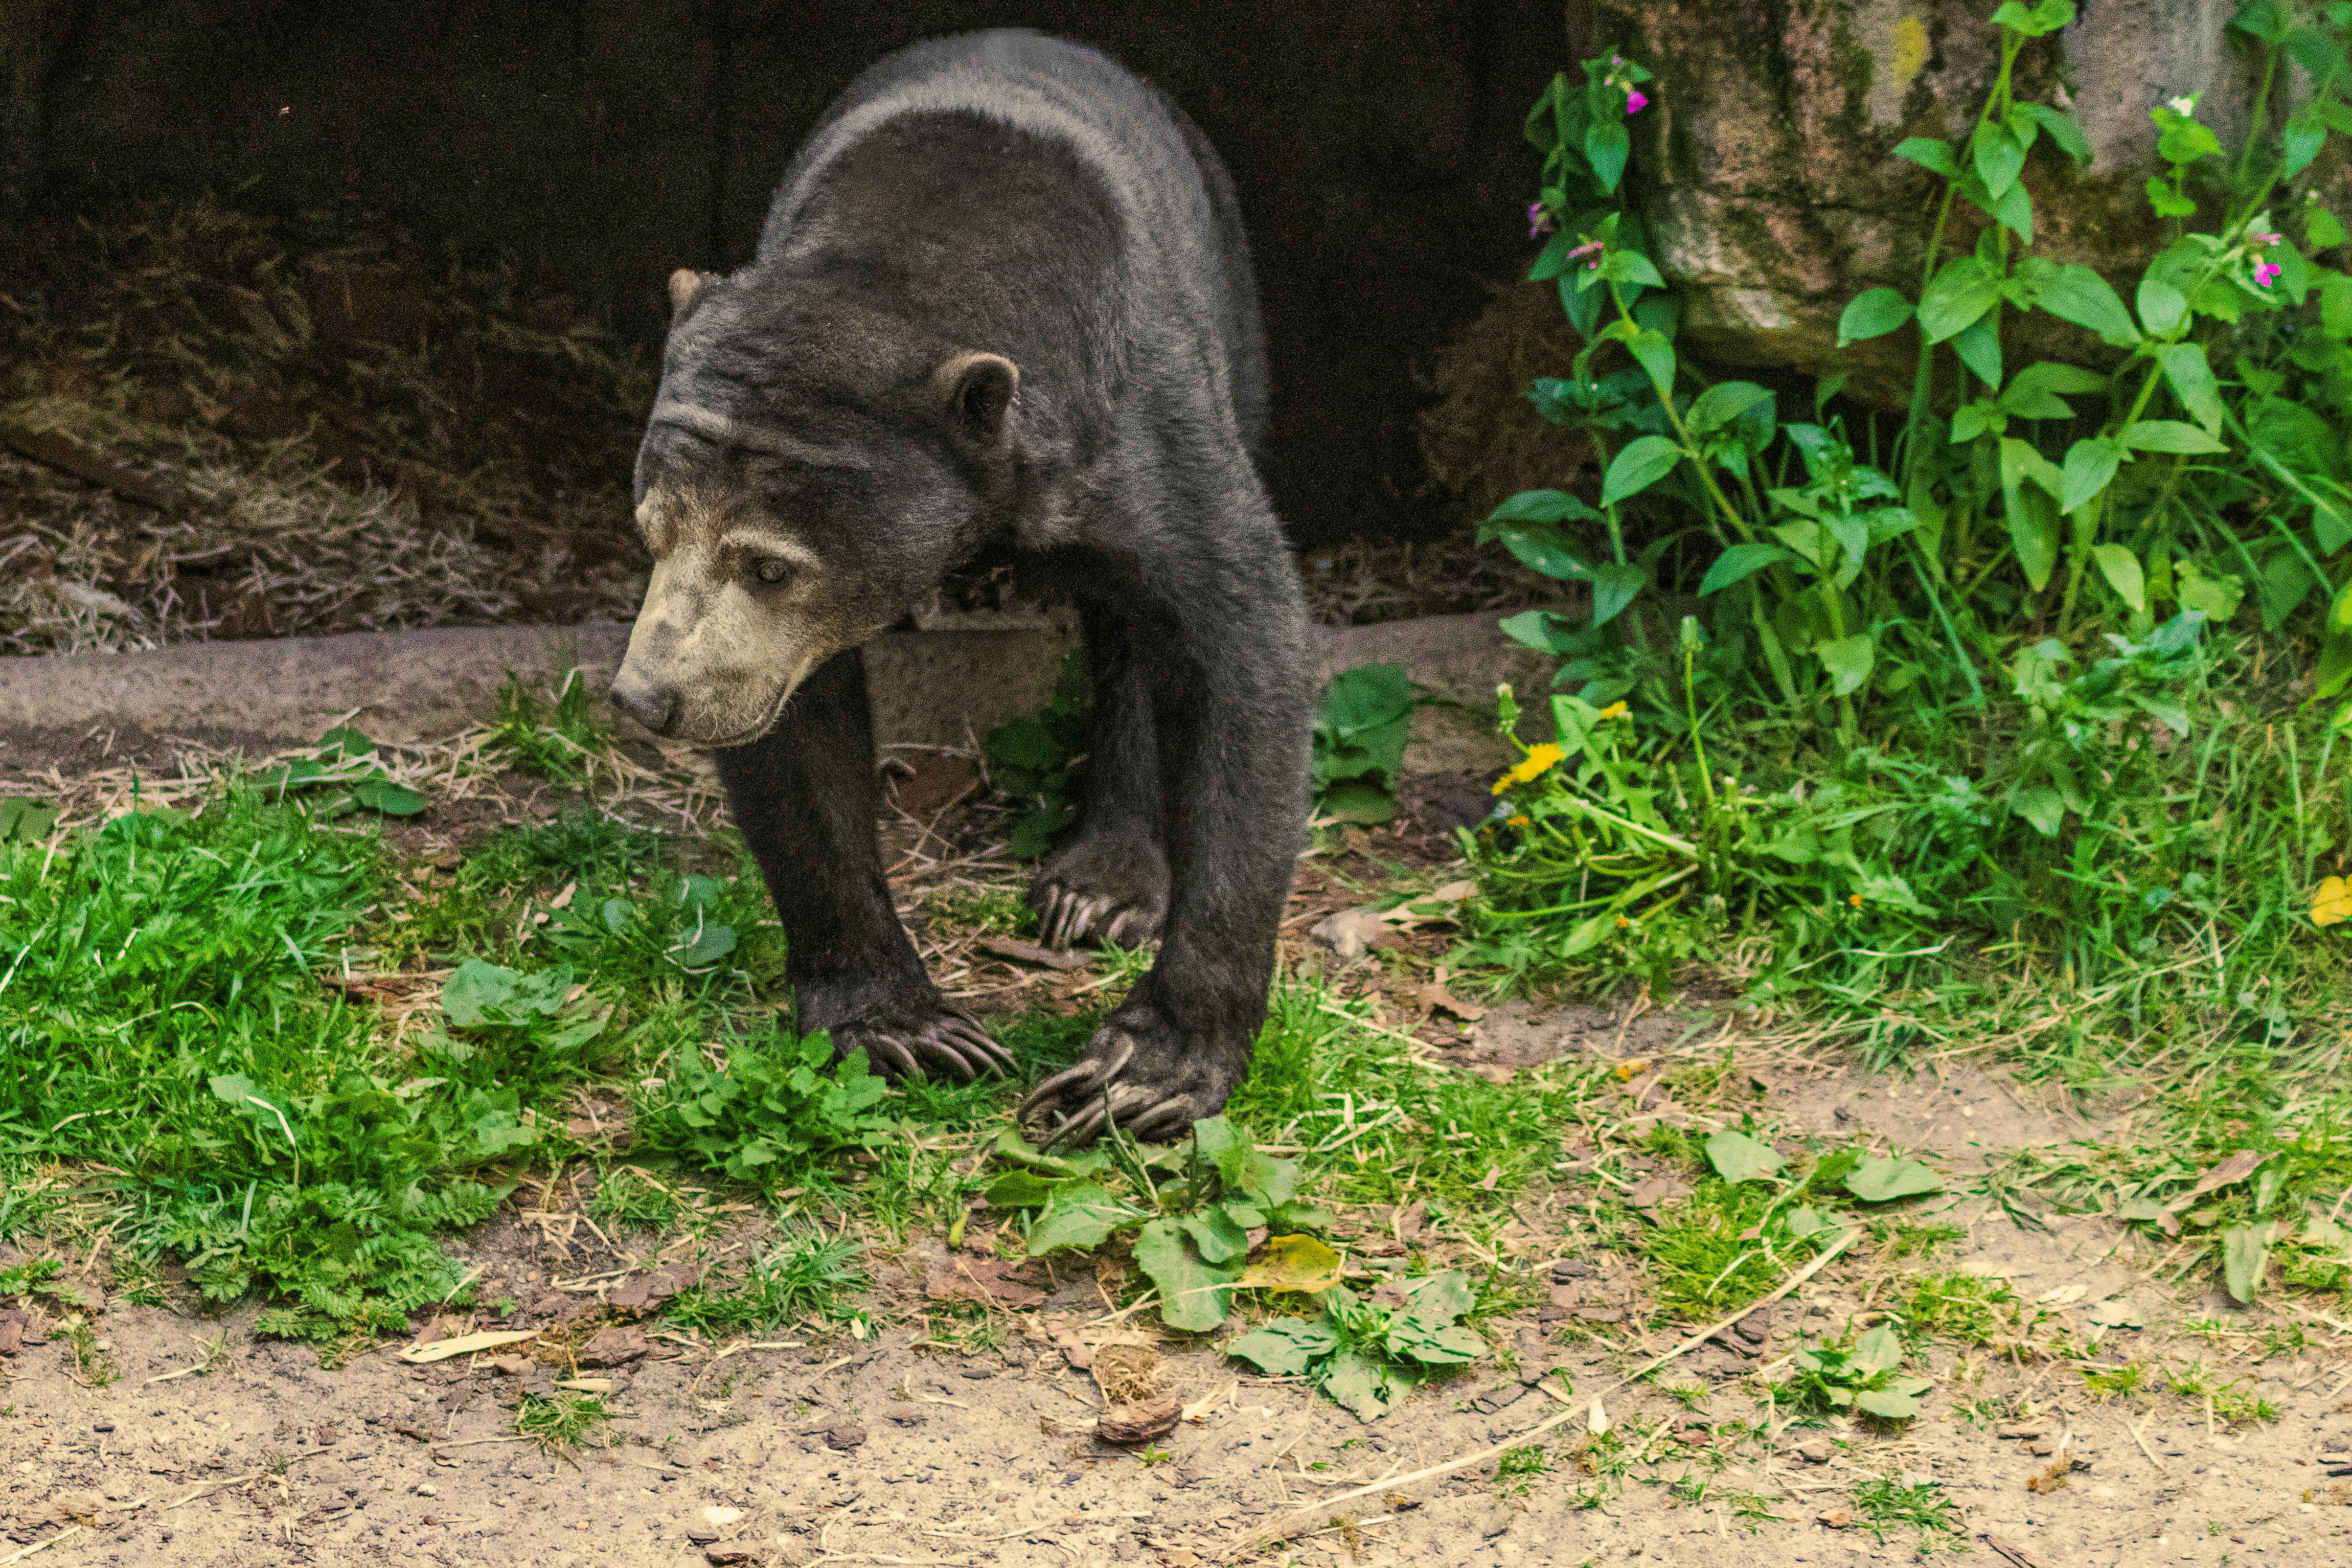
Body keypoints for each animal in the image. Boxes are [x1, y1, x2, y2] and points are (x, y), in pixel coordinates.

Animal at [607, 29, 1313, 1147]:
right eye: (651, 536)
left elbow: (1238, 656)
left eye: (770, 565)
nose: (647, 697)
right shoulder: (762, 651)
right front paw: (908, 1029)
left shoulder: (1145, 426)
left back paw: (1098, 890)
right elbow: (793, 735)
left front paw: (1138, 1077)